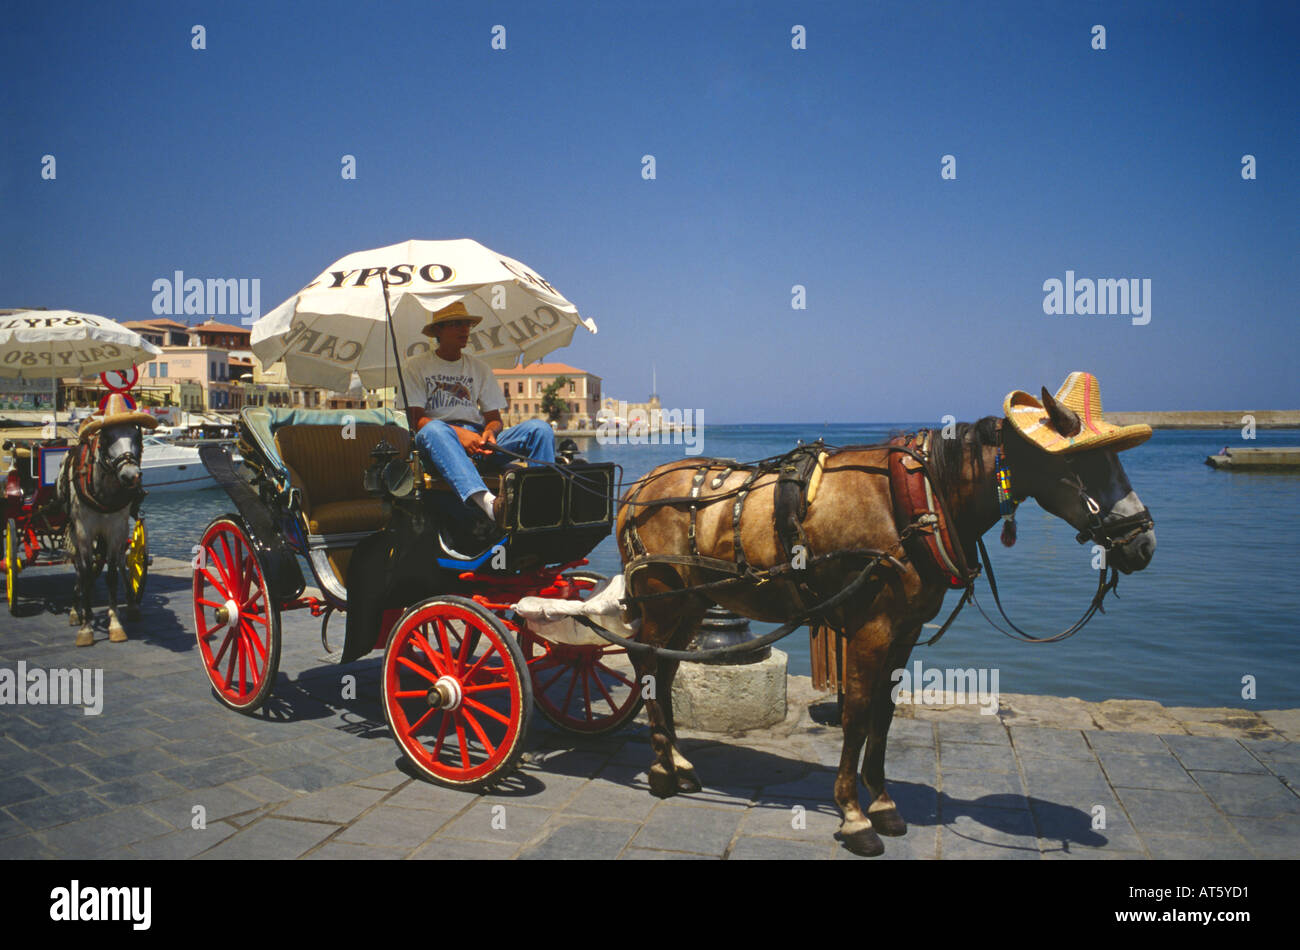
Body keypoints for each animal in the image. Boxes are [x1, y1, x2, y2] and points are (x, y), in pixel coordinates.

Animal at [618, 382, 1159, 857]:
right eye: (1084, 460)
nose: (1144, 542)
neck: (916, 497)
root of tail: (637, 488)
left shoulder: (904, 631)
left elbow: (883, 715)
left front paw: (881, 803)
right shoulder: (869, 629)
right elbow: (856, 715)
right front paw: (854, 815)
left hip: (690, 605)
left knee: (664, 670)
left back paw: (678, 761)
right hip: (662, 599)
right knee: (645, 665)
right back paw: (664, 769)